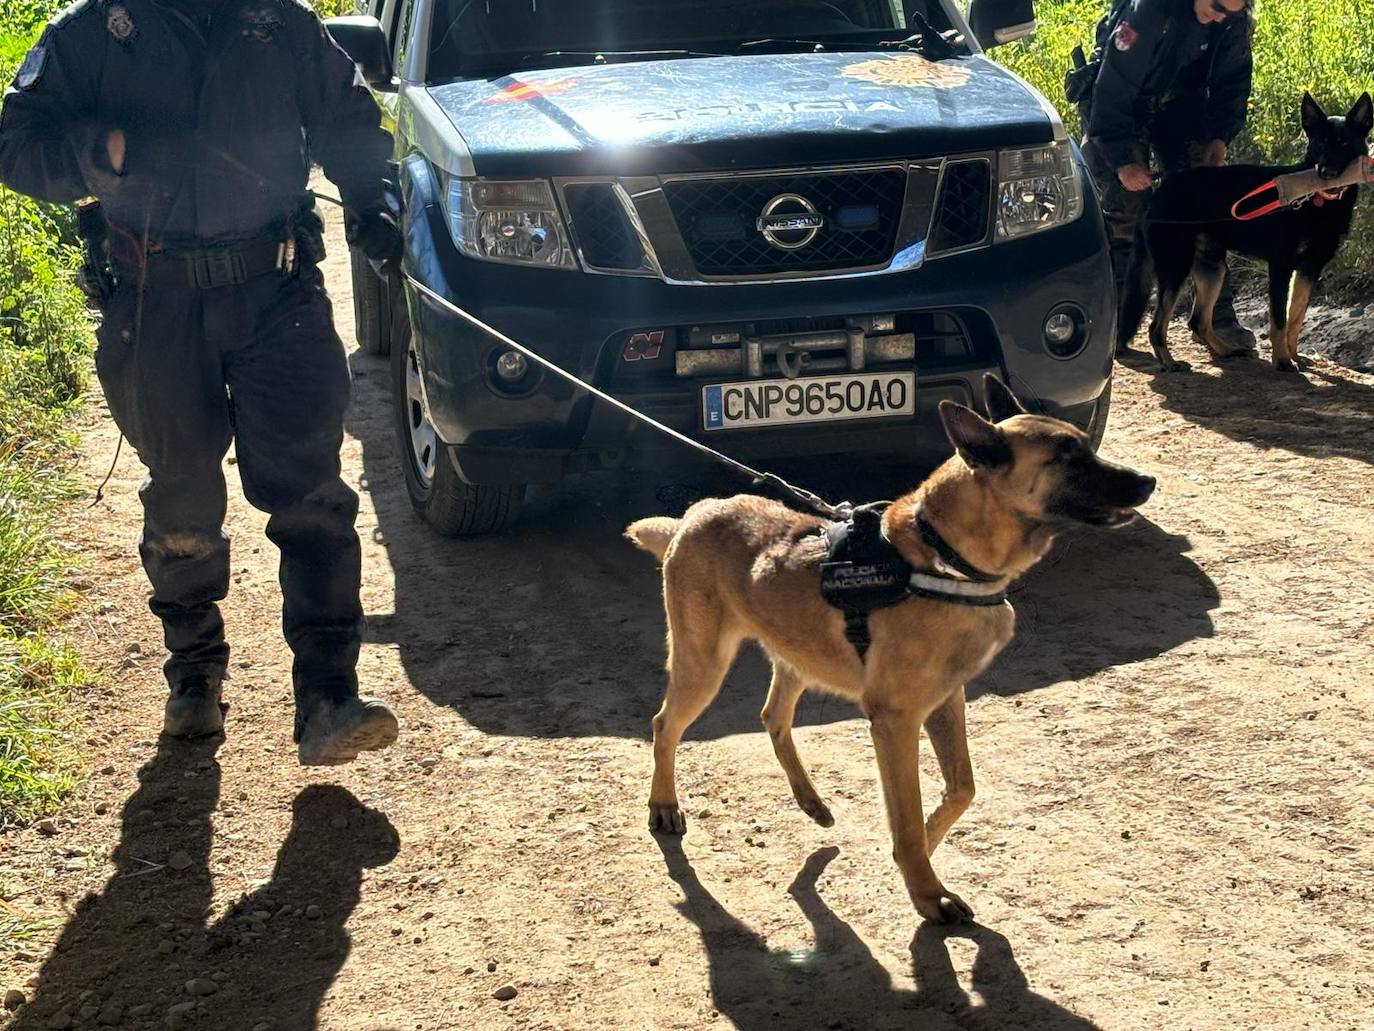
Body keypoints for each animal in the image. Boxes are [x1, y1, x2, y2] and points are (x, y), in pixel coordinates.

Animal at [629, 379, 1154, 929]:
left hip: (800, 654)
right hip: (704, 664)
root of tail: (692, 515)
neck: (944, 557)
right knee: (665, 725)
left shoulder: (947, 700)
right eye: (1067, 456)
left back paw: (810, 800)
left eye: (1086, 445)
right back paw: (664, 804)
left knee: (773, 715)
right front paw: (926, 891)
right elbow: (906, 815)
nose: (1148, 481)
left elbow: (961, 788)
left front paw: (927, 840)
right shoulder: (895, 721)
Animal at [1115, 92, 1374, 373]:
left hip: (1213, 269)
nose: (1324, 172)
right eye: (1319, 143)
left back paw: (1225, 350)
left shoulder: (1309, 269)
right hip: (1176, 268)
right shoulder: (1280, 266)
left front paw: (1295, 356)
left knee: (1198, 321)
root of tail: (1160, 189)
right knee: (1156, 326)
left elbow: (1296, 318)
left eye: (1344, 142)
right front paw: (1282, 361)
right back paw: (1169, 362)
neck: (1319, 202)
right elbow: (1279, 320)